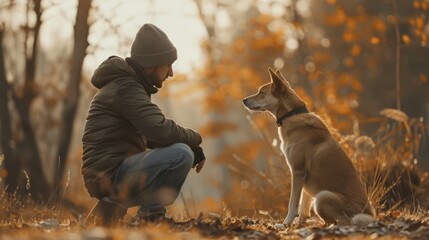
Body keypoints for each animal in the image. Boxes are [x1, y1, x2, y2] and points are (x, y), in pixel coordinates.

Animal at [242, 68, 372, 227]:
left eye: (261, 92)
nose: (243, 100)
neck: (291, 115)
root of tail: (371, 215)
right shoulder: (305, 180)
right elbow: (303, 207)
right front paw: (299, 224)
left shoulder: (298, 172)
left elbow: (293, 205)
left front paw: (286, 224)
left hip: (323, 196)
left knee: (346, 221)